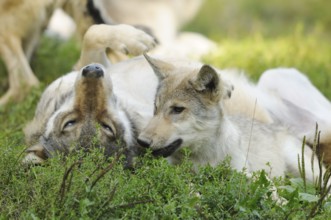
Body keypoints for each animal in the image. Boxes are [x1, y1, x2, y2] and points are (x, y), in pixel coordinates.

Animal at [137, 54, 326, 181]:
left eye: (177, 109)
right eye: (156, 107)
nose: (141, 141)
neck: (205, 158)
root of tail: (282, 126)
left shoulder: (249, 174)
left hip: (307, 171)